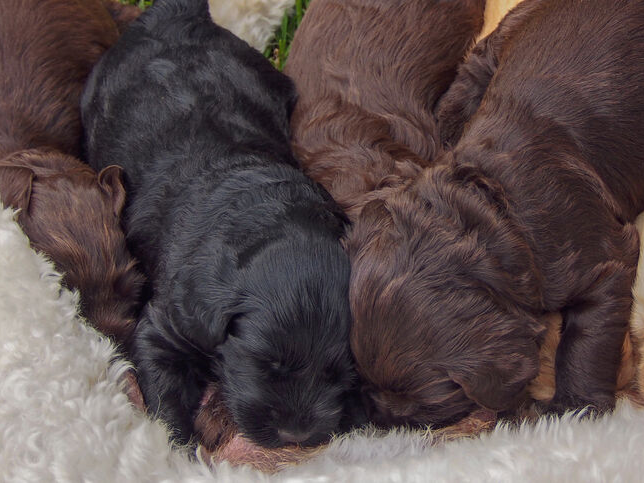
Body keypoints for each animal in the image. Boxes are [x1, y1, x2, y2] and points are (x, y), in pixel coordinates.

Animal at [81, 0, 358, 450]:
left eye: (338, 372)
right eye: (266, 365)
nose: (295, 436)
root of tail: (173, 14)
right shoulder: (169, 323)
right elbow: (166, 391)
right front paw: (178, 449)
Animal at [350, 0, 644, 428]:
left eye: (428, 401)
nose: (379, 417)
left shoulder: (603, 260)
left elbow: (588, 340)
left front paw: (575, 408)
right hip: (501, 38)